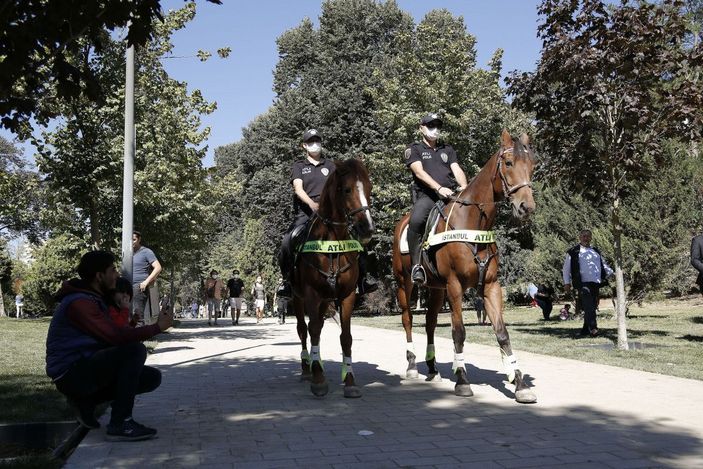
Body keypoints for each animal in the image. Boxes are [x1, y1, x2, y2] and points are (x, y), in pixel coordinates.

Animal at [292, 159, 374, 396]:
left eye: (369, 188)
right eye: (346, 190)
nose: (367, 228)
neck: (331, 243)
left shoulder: (346, 296)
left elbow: (346, 337)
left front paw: (350, 381)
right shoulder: (311, 295)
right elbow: (313, 331)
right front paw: (318, 378)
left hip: (325, 300)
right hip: (297, 298)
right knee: (303, 330)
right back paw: (307, 368)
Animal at [394, 128, 536, 402]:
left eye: (532, 164)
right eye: (508, 162)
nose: (526, 207)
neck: (473, 223)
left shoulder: (490, 286)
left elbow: (502, 334)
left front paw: (520, 383)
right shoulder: (455, 286)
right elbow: (458, 332)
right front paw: (462, 380)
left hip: (436, 289)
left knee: (430, 322)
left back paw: (432, 368)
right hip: (404, 283)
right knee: (408, 320)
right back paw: (412, 365)